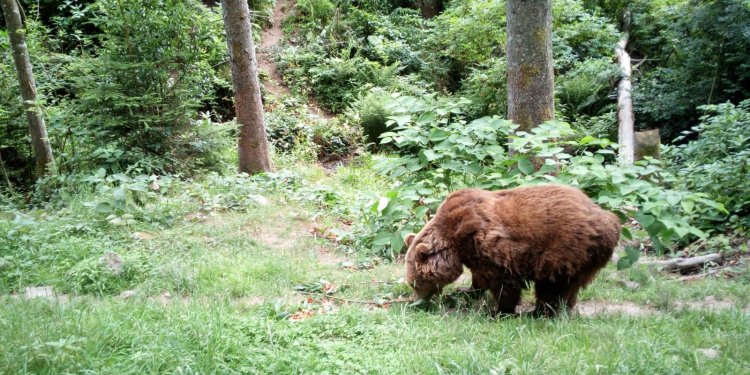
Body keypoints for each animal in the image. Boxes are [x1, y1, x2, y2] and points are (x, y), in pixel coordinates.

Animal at [406, 185, 624, 318]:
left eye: (416, 283)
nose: (416, 302)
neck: (453, 241)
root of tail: (612, 222)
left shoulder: (485, 243)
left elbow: (503, 280)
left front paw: (500, 311)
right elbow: (479, 277)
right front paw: (466, 292)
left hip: (565, 247)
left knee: (552, 285)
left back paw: (539, 313)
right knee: (570, 286)